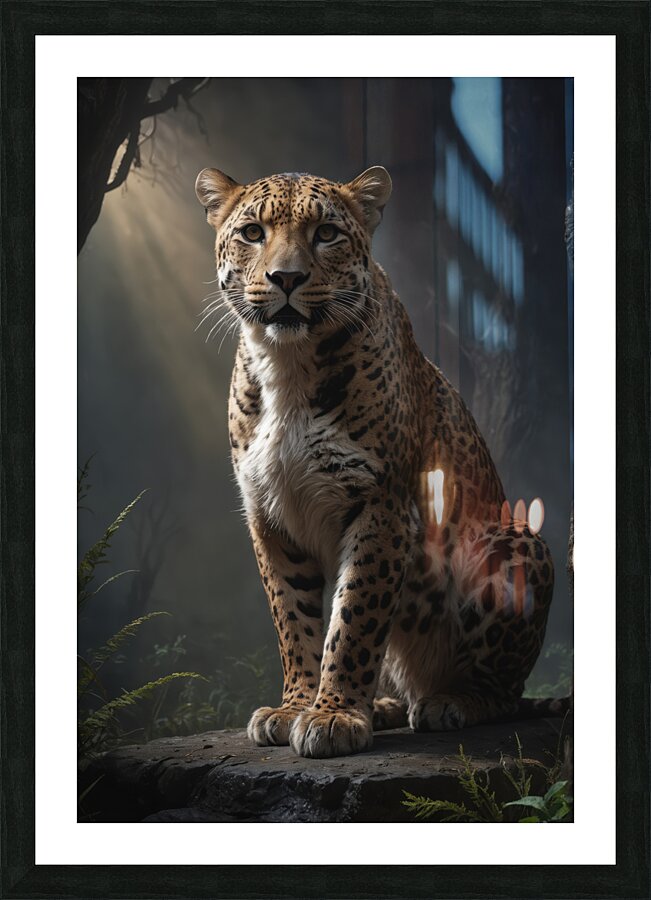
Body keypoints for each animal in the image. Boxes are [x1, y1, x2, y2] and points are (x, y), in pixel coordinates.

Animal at [195, 164, 565, 759]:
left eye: (326, 234)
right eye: (252, 233)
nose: (286, 278)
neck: (287, 364)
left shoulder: (379, 504)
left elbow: (353, 620)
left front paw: (333, 716)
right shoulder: (270, 515)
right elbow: (293, 622)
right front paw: (295, 707)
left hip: (516, 542)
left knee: (504, 692)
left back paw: (449, 702)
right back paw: (389, 705)